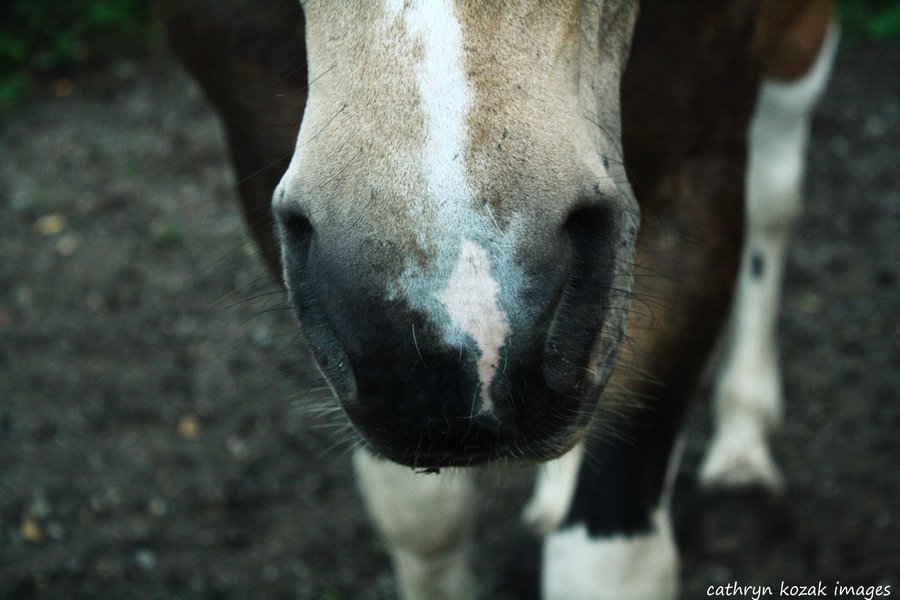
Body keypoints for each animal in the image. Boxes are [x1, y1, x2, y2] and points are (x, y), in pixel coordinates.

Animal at [160, 1, 837, 598]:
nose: (470, 333)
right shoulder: (257, 132)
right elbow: (421, 520)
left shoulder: (697, 165)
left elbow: (607, 569)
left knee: (775, 189)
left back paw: (741, 461)